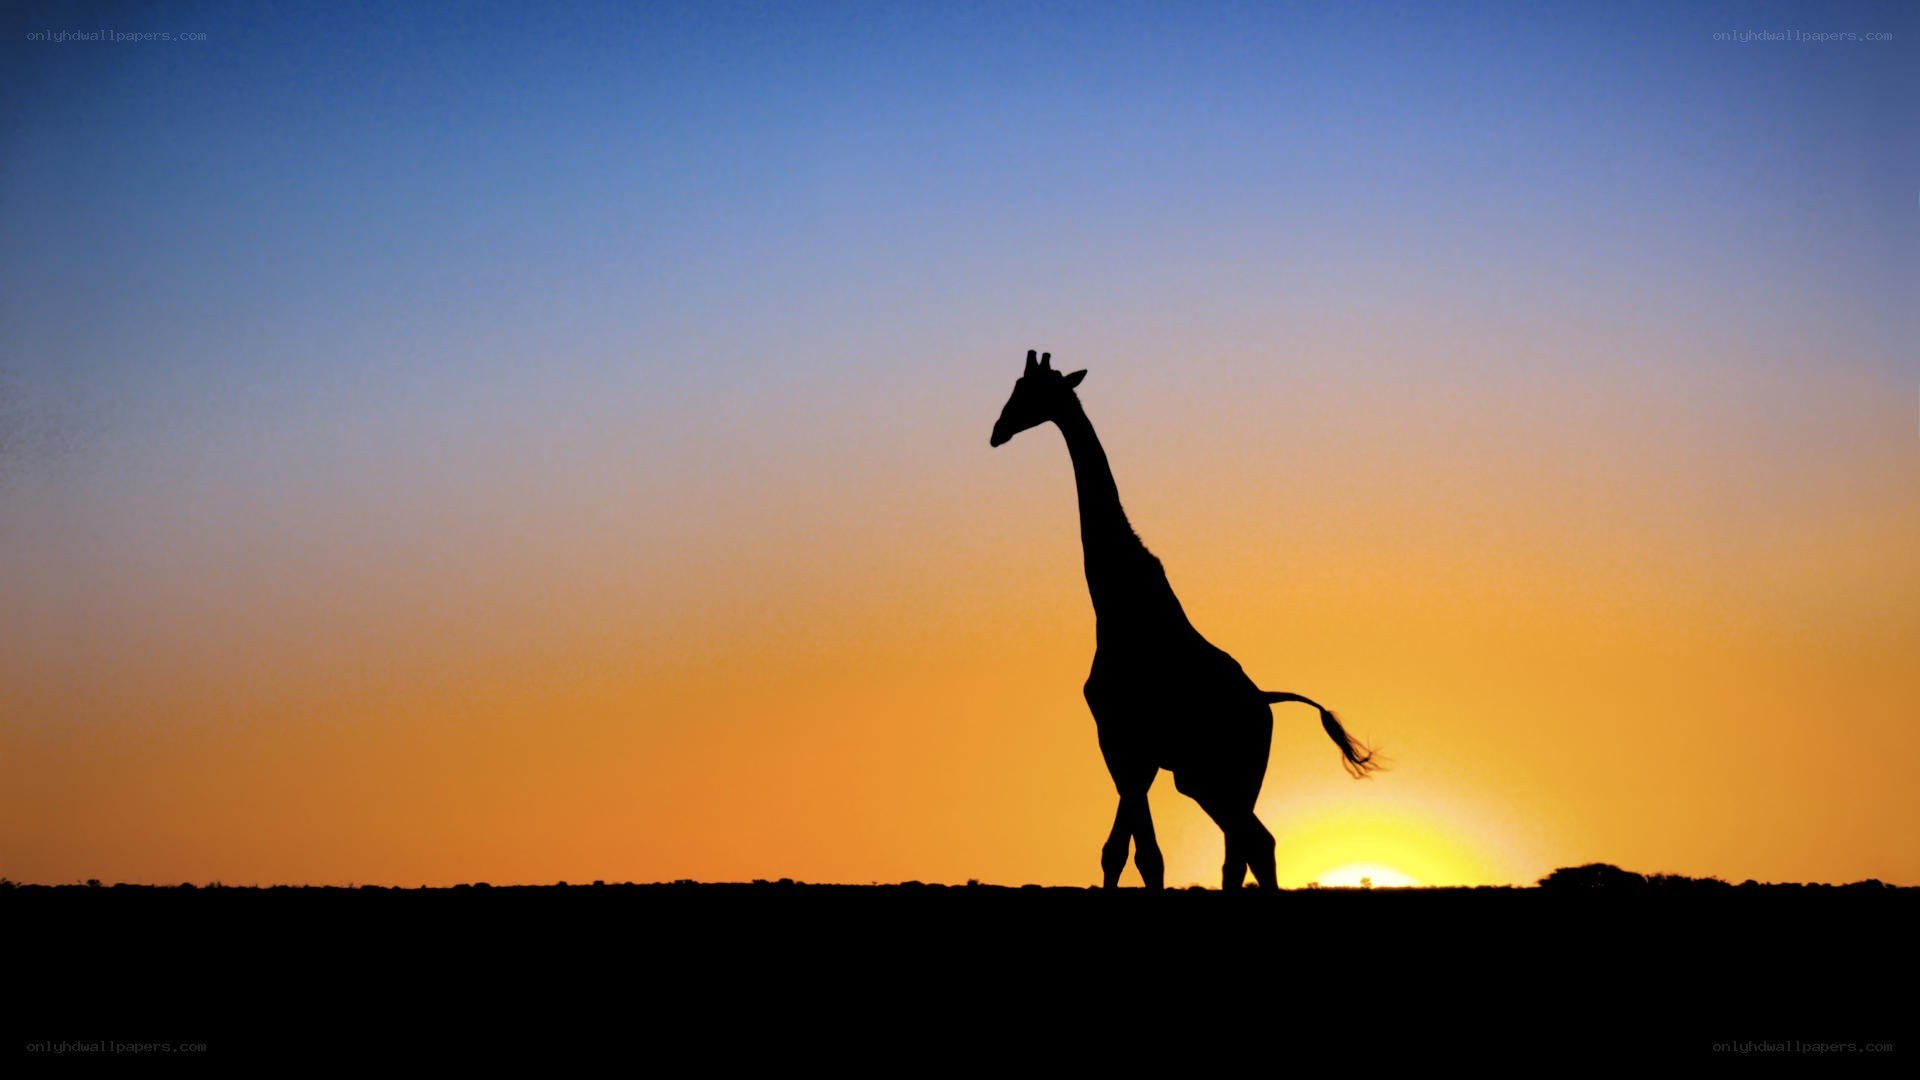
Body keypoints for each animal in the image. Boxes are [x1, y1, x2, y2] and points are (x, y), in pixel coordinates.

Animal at [990, 349, 1379, 890]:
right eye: (1016, 387)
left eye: (1030, 391)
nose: (997, 430)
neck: (1117, 602)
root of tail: (1265, 702)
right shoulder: (1136, 750)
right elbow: (1120, 851)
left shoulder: (1123, 738)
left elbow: (1142, 855)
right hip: (1212, 778)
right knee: (1248, 846)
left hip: (1217, 775)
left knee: (1253, 843)